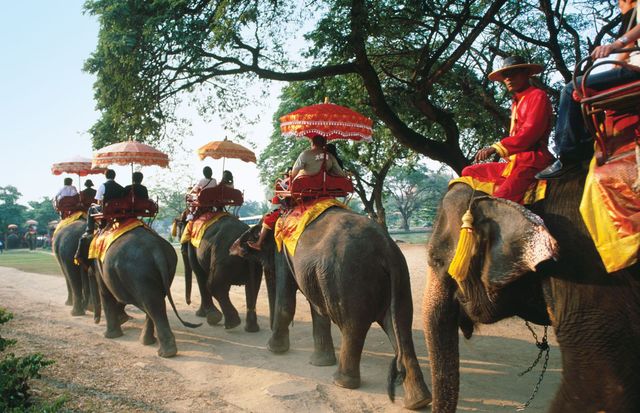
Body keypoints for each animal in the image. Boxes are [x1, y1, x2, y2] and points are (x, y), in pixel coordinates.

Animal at [92, 226, 201, 357]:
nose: (96, 321)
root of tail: (156, 250)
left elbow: (106, 292)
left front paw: (110, 336)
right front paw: (122, 319)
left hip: (139, 272)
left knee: (151, 305)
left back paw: (165, 353)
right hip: (166, 269)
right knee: (154, 302)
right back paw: (150, 343)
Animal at [230, 207, 432, 410]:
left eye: (255, 234)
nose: (234, 248)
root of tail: (386, 249)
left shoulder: (283, 255)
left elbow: (287, 302)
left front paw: (273, 349)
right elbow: (318, 310)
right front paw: (319, 363)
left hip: (349, 278)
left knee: (353, 327)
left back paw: (341, 382)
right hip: (400, 279)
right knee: (401, 326)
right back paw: (418, 401)